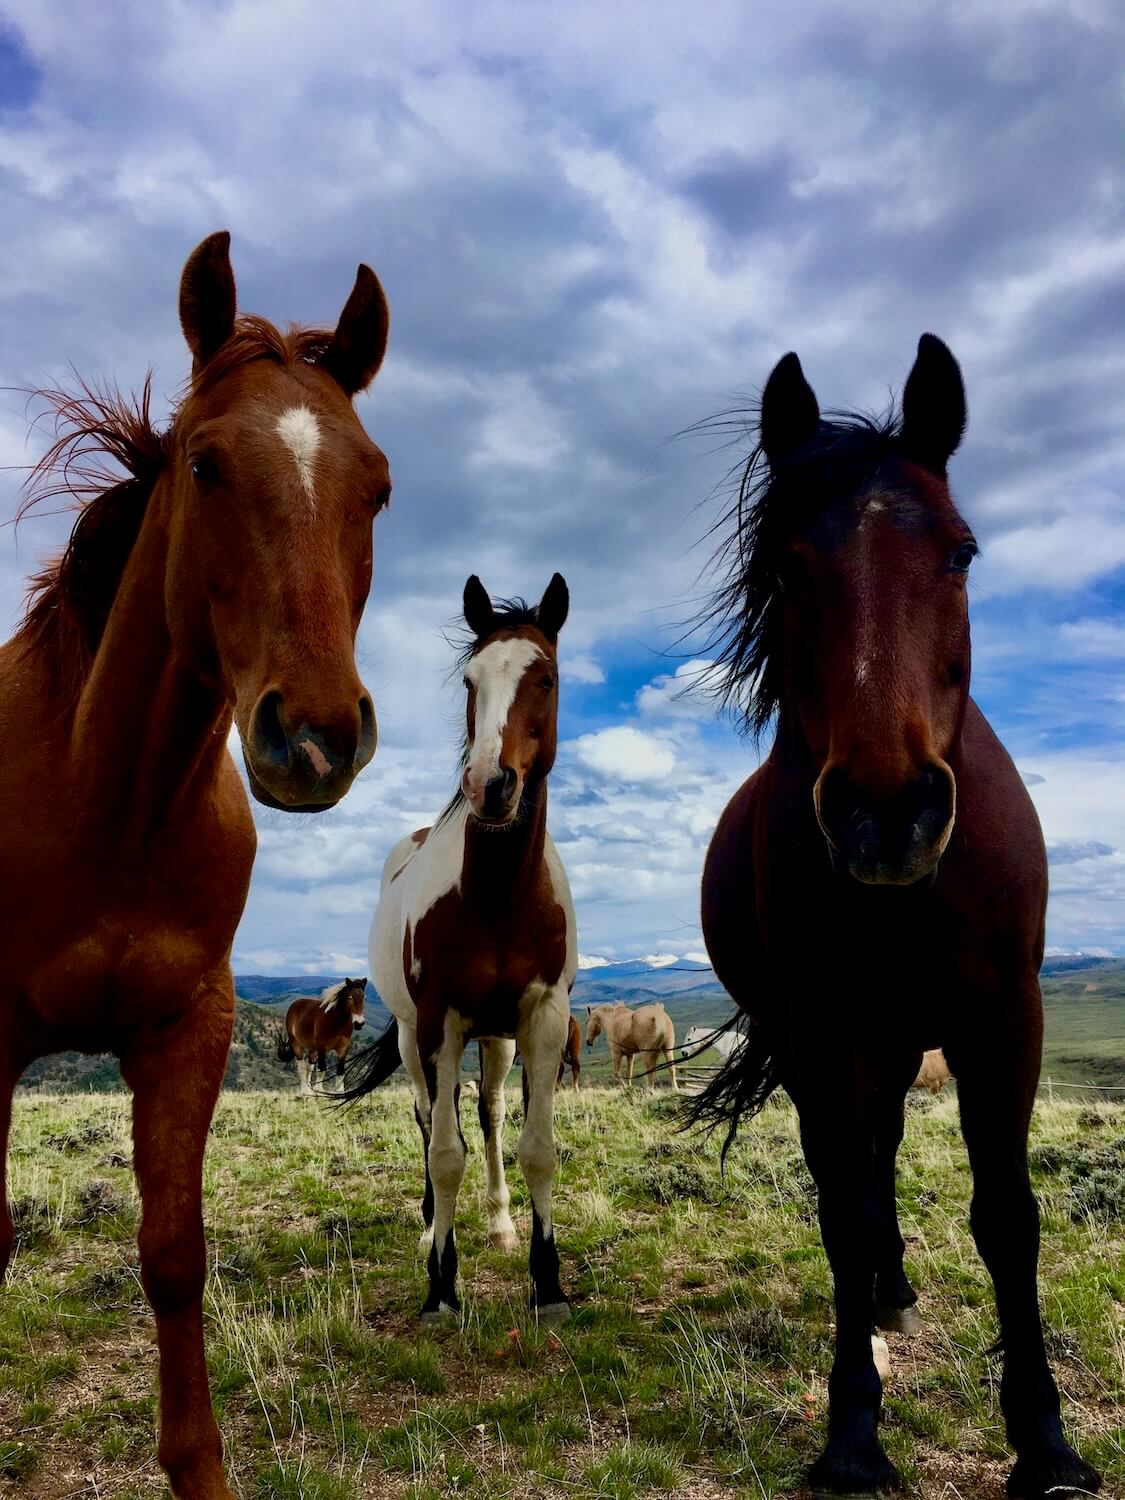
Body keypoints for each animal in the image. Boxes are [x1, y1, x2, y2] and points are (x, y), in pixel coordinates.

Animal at [0, 231, 390, 1500]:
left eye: (378, 485)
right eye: (206, 464)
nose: (315, 736)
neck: (106, 802)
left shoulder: (189, 1028)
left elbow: (174, 1253)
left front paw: (200, 1467)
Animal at [343, 574, 577, 1323]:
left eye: (546, 677)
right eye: (471, 680)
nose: (490, 785)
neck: (496, 897)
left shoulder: (542, 1019)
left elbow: (536, 1148)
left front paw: (547, 1282)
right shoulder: (439, 1023)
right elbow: (446, 1153)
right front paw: (441, 1285)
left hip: (496, 1037)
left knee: (490, 1113)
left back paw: (500, 1222)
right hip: (414, 1035)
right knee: (428, 1120)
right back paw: (427, 1228)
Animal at [690, 335, 1100, 1498]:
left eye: (960, 555)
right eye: (786, 569)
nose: (886, 814)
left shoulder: (1003, 1018)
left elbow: (1008, 1216)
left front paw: (1044, 1440)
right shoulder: (827, 1029)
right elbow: (842, 1211)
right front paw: (852, 1430)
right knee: (858, 1173)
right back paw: (881, 1290)